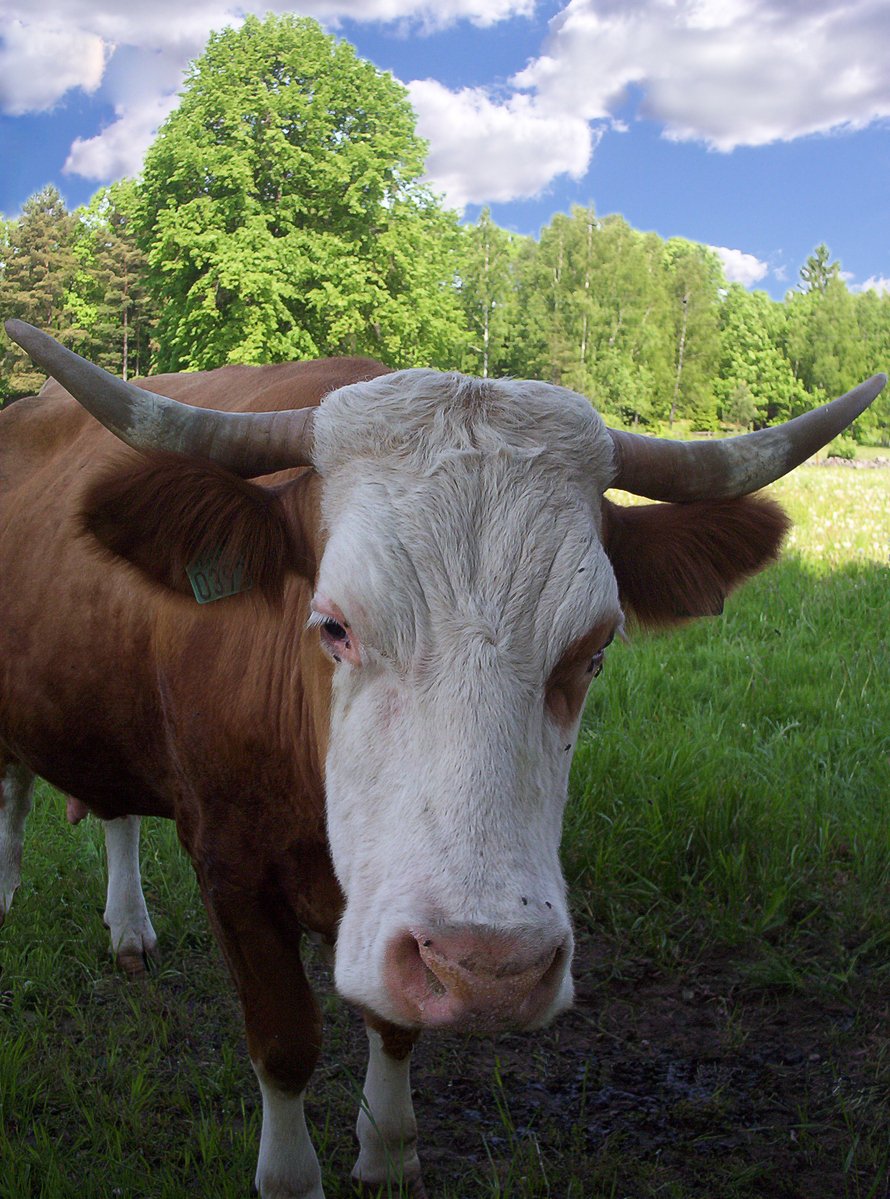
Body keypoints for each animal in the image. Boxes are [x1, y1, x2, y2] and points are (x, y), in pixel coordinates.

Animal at [0, 321, 887, 1199]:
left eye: (596, 647)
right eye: (333, 625)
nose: (493, 968)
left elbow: (393, 1026)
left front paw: (389, 1149)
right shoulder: (229, 867)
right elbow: (284, 1040)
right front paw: (291, 1175)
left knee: (112, 809)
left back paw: (129, 929)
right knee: (14, 792)